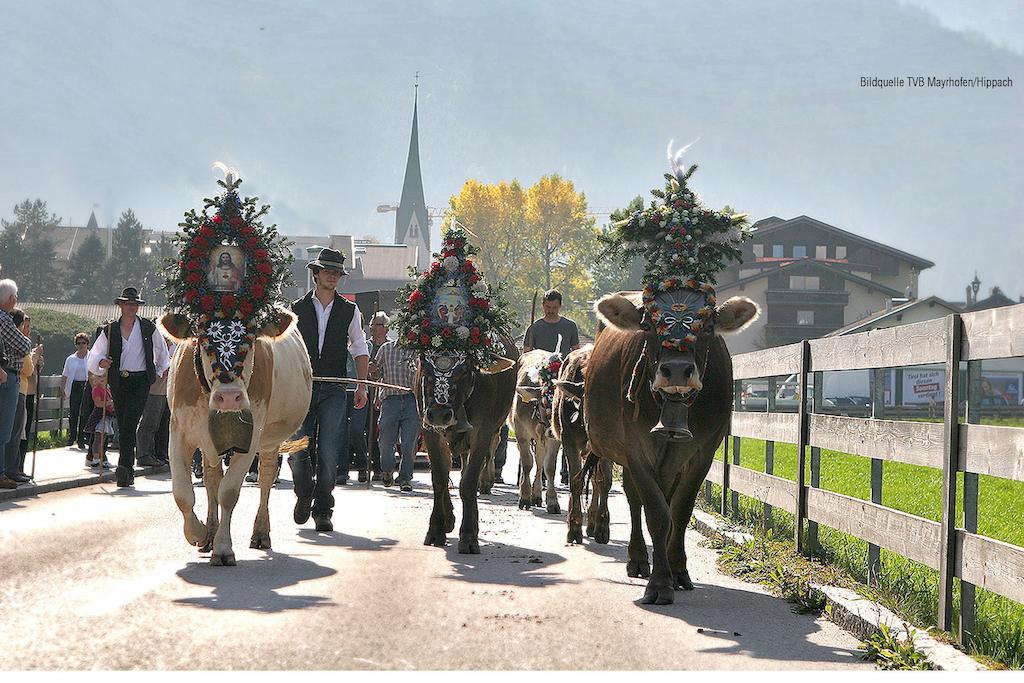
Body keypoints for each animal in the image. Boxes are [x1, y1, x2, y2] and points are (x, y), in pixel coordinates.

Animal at [159, 309, 309, 565]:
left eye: (251, 338)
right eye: (202, 338)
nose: (229, 397)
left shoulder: (251, 437)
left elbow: (228, 493)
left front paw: (223, 549)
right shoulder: (178, 430)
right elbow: (182, 494)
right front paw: (198, 533)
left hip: (269, 440)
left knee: (266, 476)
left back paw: (260, 533)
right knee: (211, 479)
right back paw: (209, 533)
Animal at [413, 331, 516, 557]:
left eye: (465, 368)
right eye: (424, 363)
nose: (440, 414)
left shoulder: (482, 432)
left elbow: (468, 483)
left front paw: (469, 535)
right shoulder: (430, 430)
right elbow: (439, 478)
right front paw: (437, 528)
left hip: (493, 431)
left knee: (478, 464)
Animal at [512, 352, 569, 511]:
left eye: (559, 405)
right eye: (544, 403)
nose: (552, 431)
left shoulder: (555, 440)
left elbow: (549, 467)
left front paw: (552, 501)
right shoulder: (521, 433)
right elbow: (527, 463)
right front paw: (524, 497)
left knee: (539, 463)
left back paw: (537, 495)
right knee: (531, 461)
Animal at [552, 344, 614, 548]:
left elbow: (604, 482)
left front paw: (602, 526)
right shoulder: (569, 441)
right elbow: (576, 481)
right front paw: (574, 527)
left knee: (595, 480)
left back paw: (593, 523)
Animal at [585, 288, 761, 602]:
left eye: (707, 327)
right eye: (648, 326)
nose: (677, 371)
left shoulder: (703, 452)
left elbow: (679, 512)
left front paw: (678, 570)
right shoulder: (636, 450)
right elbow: (656, 513)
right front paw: (659, 583)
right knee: (633, 499)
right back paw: (638, 558)